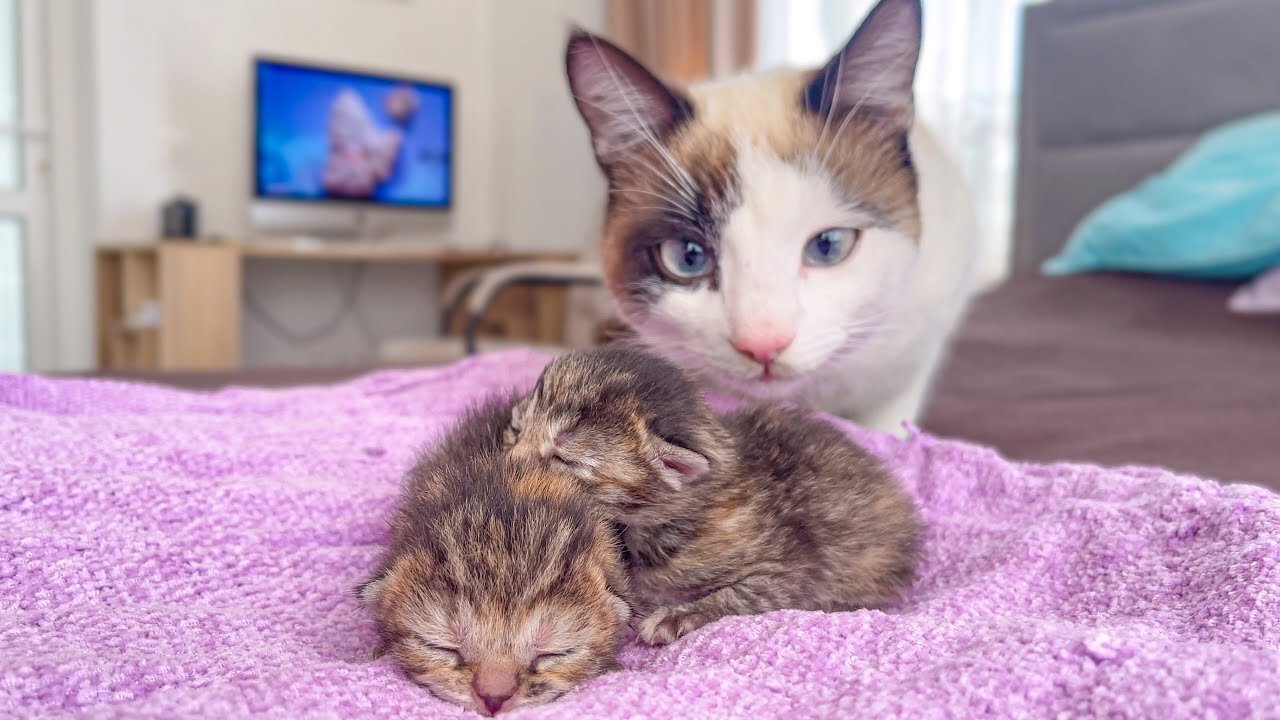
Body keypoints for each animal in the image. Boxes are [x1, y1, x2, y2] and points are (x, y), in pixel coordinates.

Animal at [501, 345, 921, 640]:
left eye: (560, 457)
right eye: (517, 429)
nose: (508, 464)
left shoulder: (791, 566)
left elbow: (744, 595)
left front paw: (678, 616)